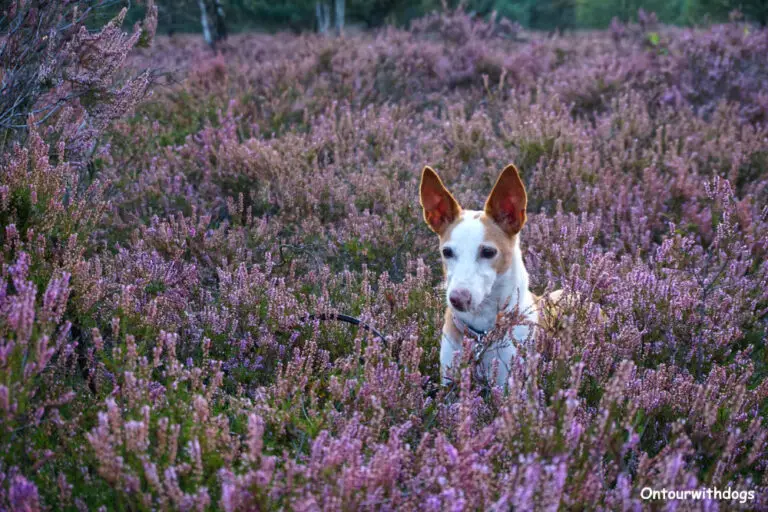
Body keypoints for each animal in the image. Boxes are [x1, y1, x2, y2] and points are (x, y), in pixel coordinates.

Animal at [420, 165, 560, 388]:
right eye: (447, 252)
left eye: (488, 252)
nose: (458, 299)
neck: (481, 333)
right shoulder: (448, 381)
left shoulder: (509, 384)